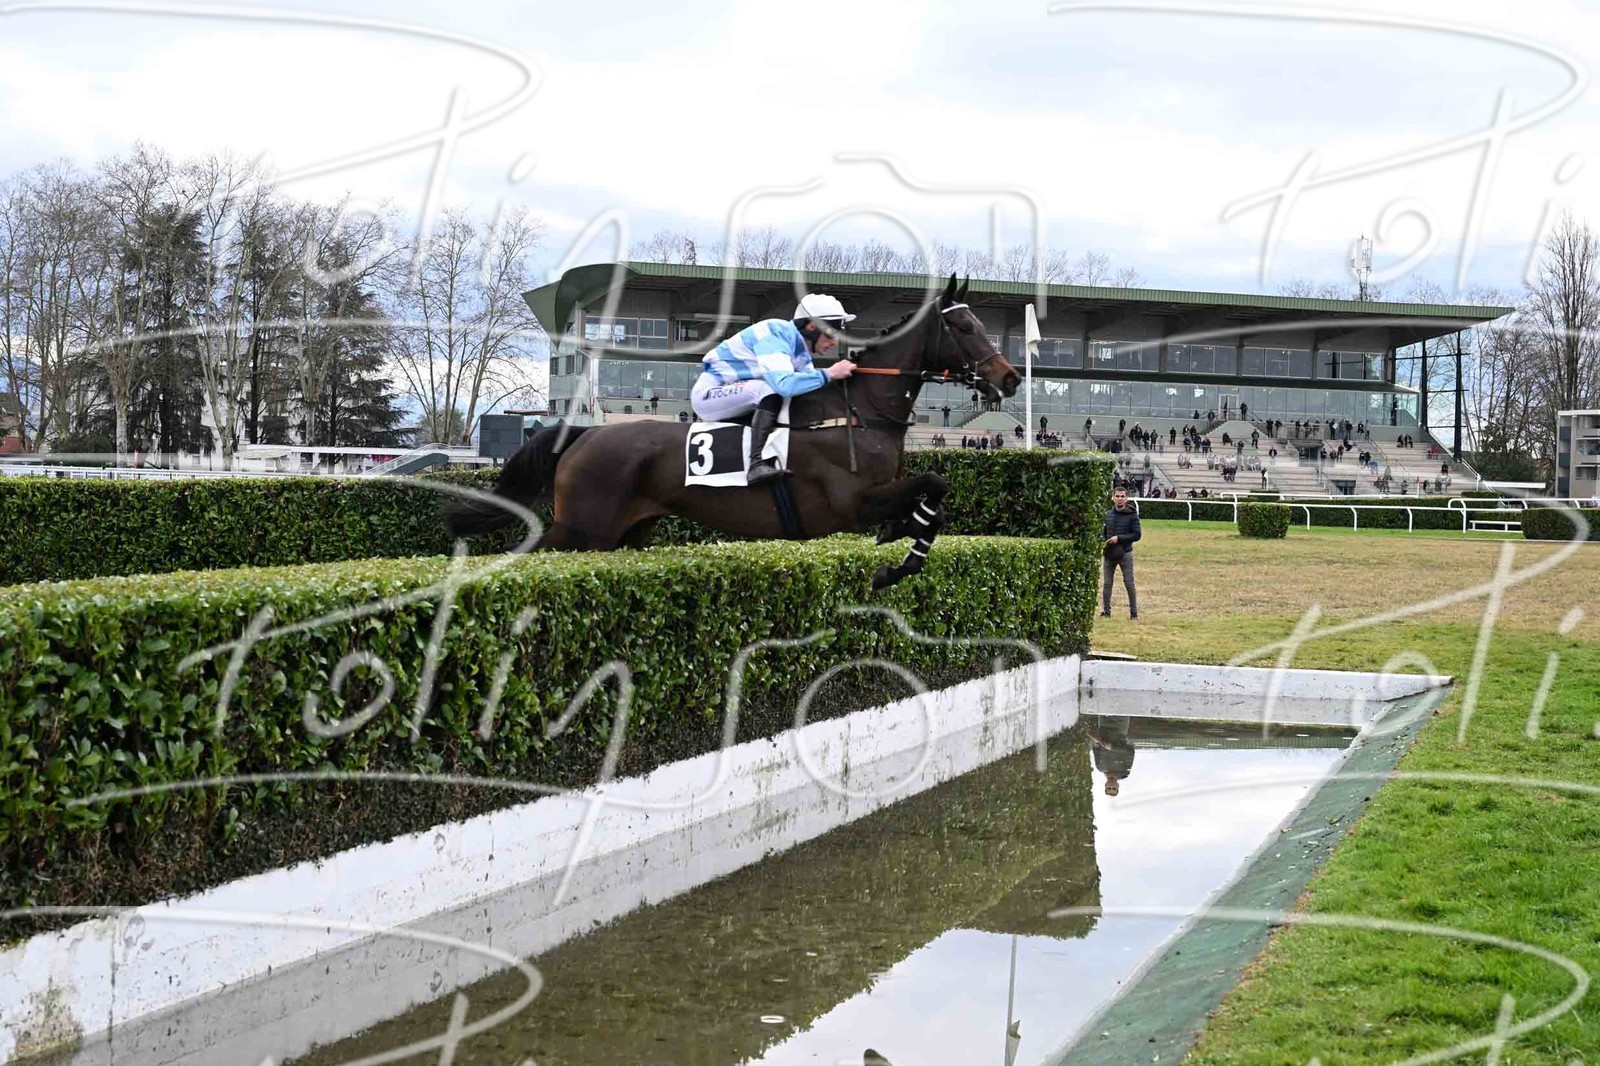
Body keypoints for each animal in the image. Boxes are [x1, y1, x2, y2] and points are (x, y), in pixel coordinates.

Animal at [443, 275, 1021, 589]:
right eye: (964, 326)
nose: (1010, 378)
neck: (861, 413)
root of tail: (583, 435)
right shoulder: (852, 503)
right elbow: (935, 486)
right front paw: (894, 555)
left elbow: (935, 500)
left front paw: (902, 542)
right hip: (581, 531)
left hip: (622, 535)